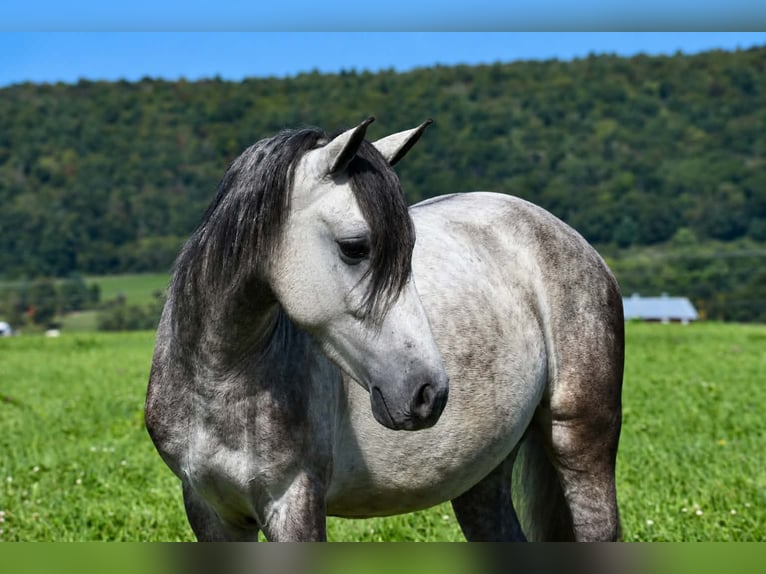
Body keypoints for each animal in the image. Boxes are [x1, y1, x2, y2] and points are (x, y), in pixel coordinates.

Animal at [145, 117, 624, 542]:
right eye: (355, 247)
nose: (430, 393)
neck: (219, 381)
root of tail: (569, 237)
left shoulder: (293, 502)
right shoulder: (210, 510)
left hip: (580, 444)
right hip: (483, 474)